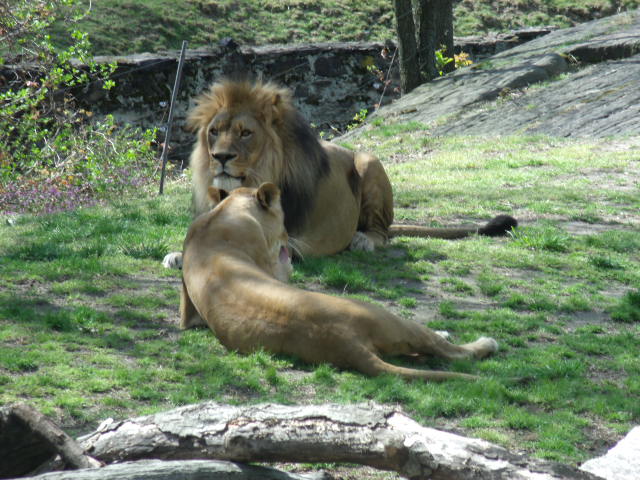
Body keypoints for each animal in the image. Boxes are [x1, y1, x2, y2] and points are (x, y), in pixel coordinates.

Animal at [162, 80, 517, 268]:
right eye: (214, 132)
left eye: (245, 133)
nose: (220, 157)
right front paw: (177, 255)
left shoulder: (289, 243)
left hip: (370, 162)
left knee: (382, 232)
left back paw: (361, 240)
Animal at [179, 182, 499, 381]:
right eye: (283, 220)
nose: (288, 238)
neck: (223, 214)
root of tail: (344, 340)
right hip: (384, 315)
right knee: (449, 351)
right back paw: (480, 342)